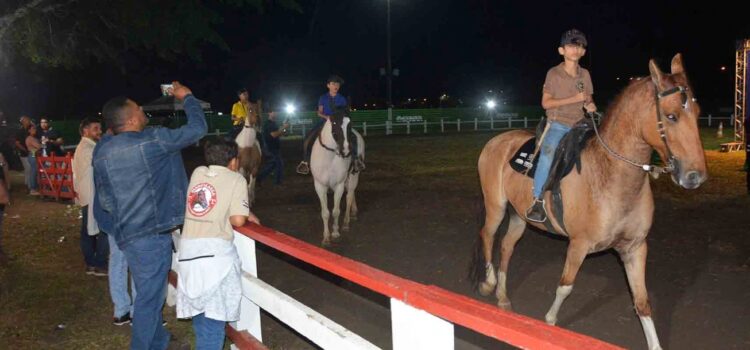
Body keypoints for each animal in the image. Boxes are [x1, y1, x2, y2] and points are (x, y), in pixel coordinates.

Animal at [312, 109, 364, 246]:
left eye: (350, 124)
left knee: (349, 196)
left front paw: (335, 232)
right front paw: (326, 237)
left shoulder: (339, 185)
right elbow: (325, 213)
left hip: (354, 175)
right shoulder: (319, 185)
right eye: (334, 123)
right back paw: (353, 212)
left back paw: (346, 222)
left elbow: (336, 211)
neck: (329, 156)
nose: (345, 149)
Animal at [472, 52, 708, 350]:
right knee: (488, 236)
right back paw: (488, 283)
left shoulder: (635, 248)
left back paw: (503, 297)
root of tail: (497, 140)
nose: (695, 176)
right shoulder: (578, 244)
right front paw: (549, 322)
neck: (610, 176)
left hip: (518, 215)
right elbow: (565, 286)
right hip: (496, 206)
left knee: (506, 246)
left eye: (697, 113)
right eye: (671, 116)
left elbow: (642, 302)